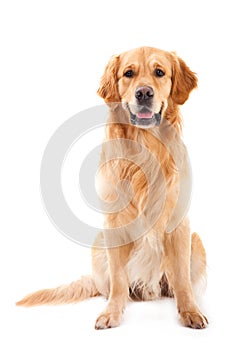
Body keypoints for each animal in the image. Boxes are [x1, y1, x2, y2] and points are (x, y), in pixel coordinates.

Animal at [17, 45, 208, 328]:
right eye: (128, 73)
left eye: (159, 72)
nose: (144, 93)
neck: (145, 148)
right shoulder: (114, 224)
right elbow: (118, 279)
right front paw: (112, 312)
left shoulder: (178, 222)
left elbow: (182, 278)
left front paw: (190, 311)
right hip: (99, 243)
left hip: (196, 241)